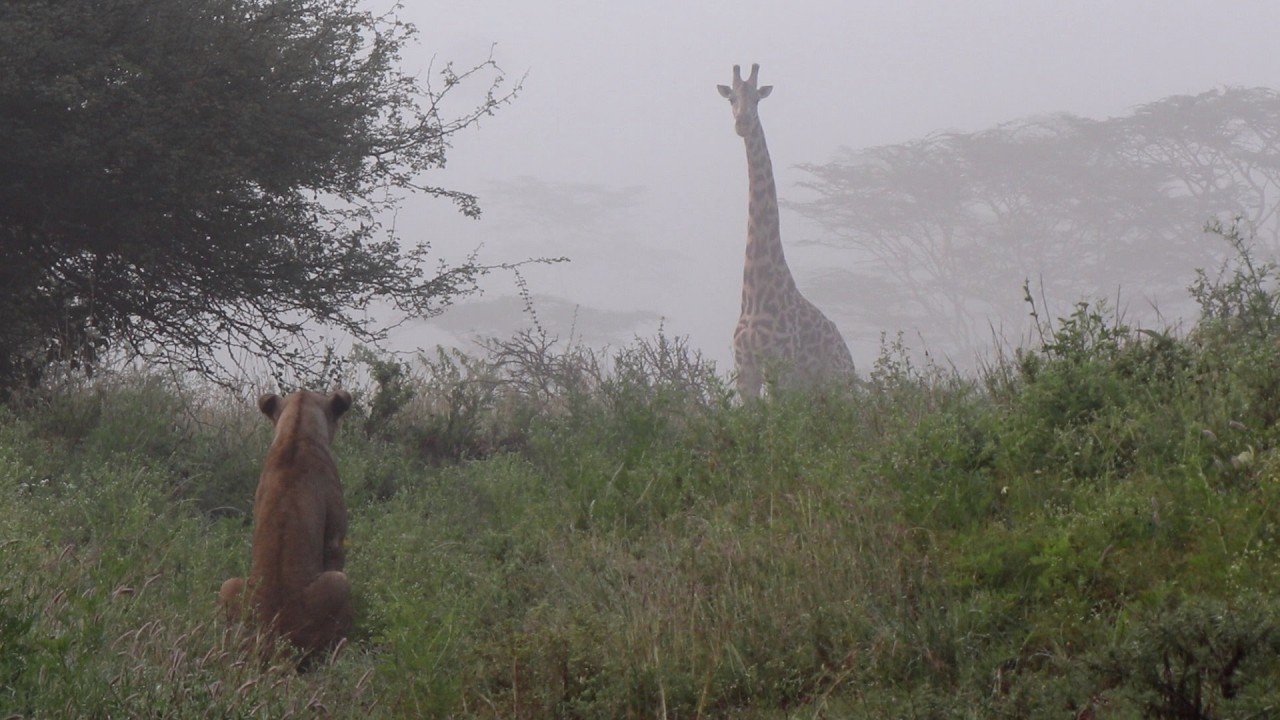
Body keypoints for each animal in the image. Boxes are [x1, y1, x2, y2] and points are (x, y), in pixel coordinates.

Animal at [717, 63, 855, 399]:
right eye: (731, 99)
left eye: (757, 98)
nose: (742, 123)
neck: (755, 295)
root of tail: (852, 362)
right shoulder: (746, 369)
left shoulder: (782, 367)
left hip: (835, 385)